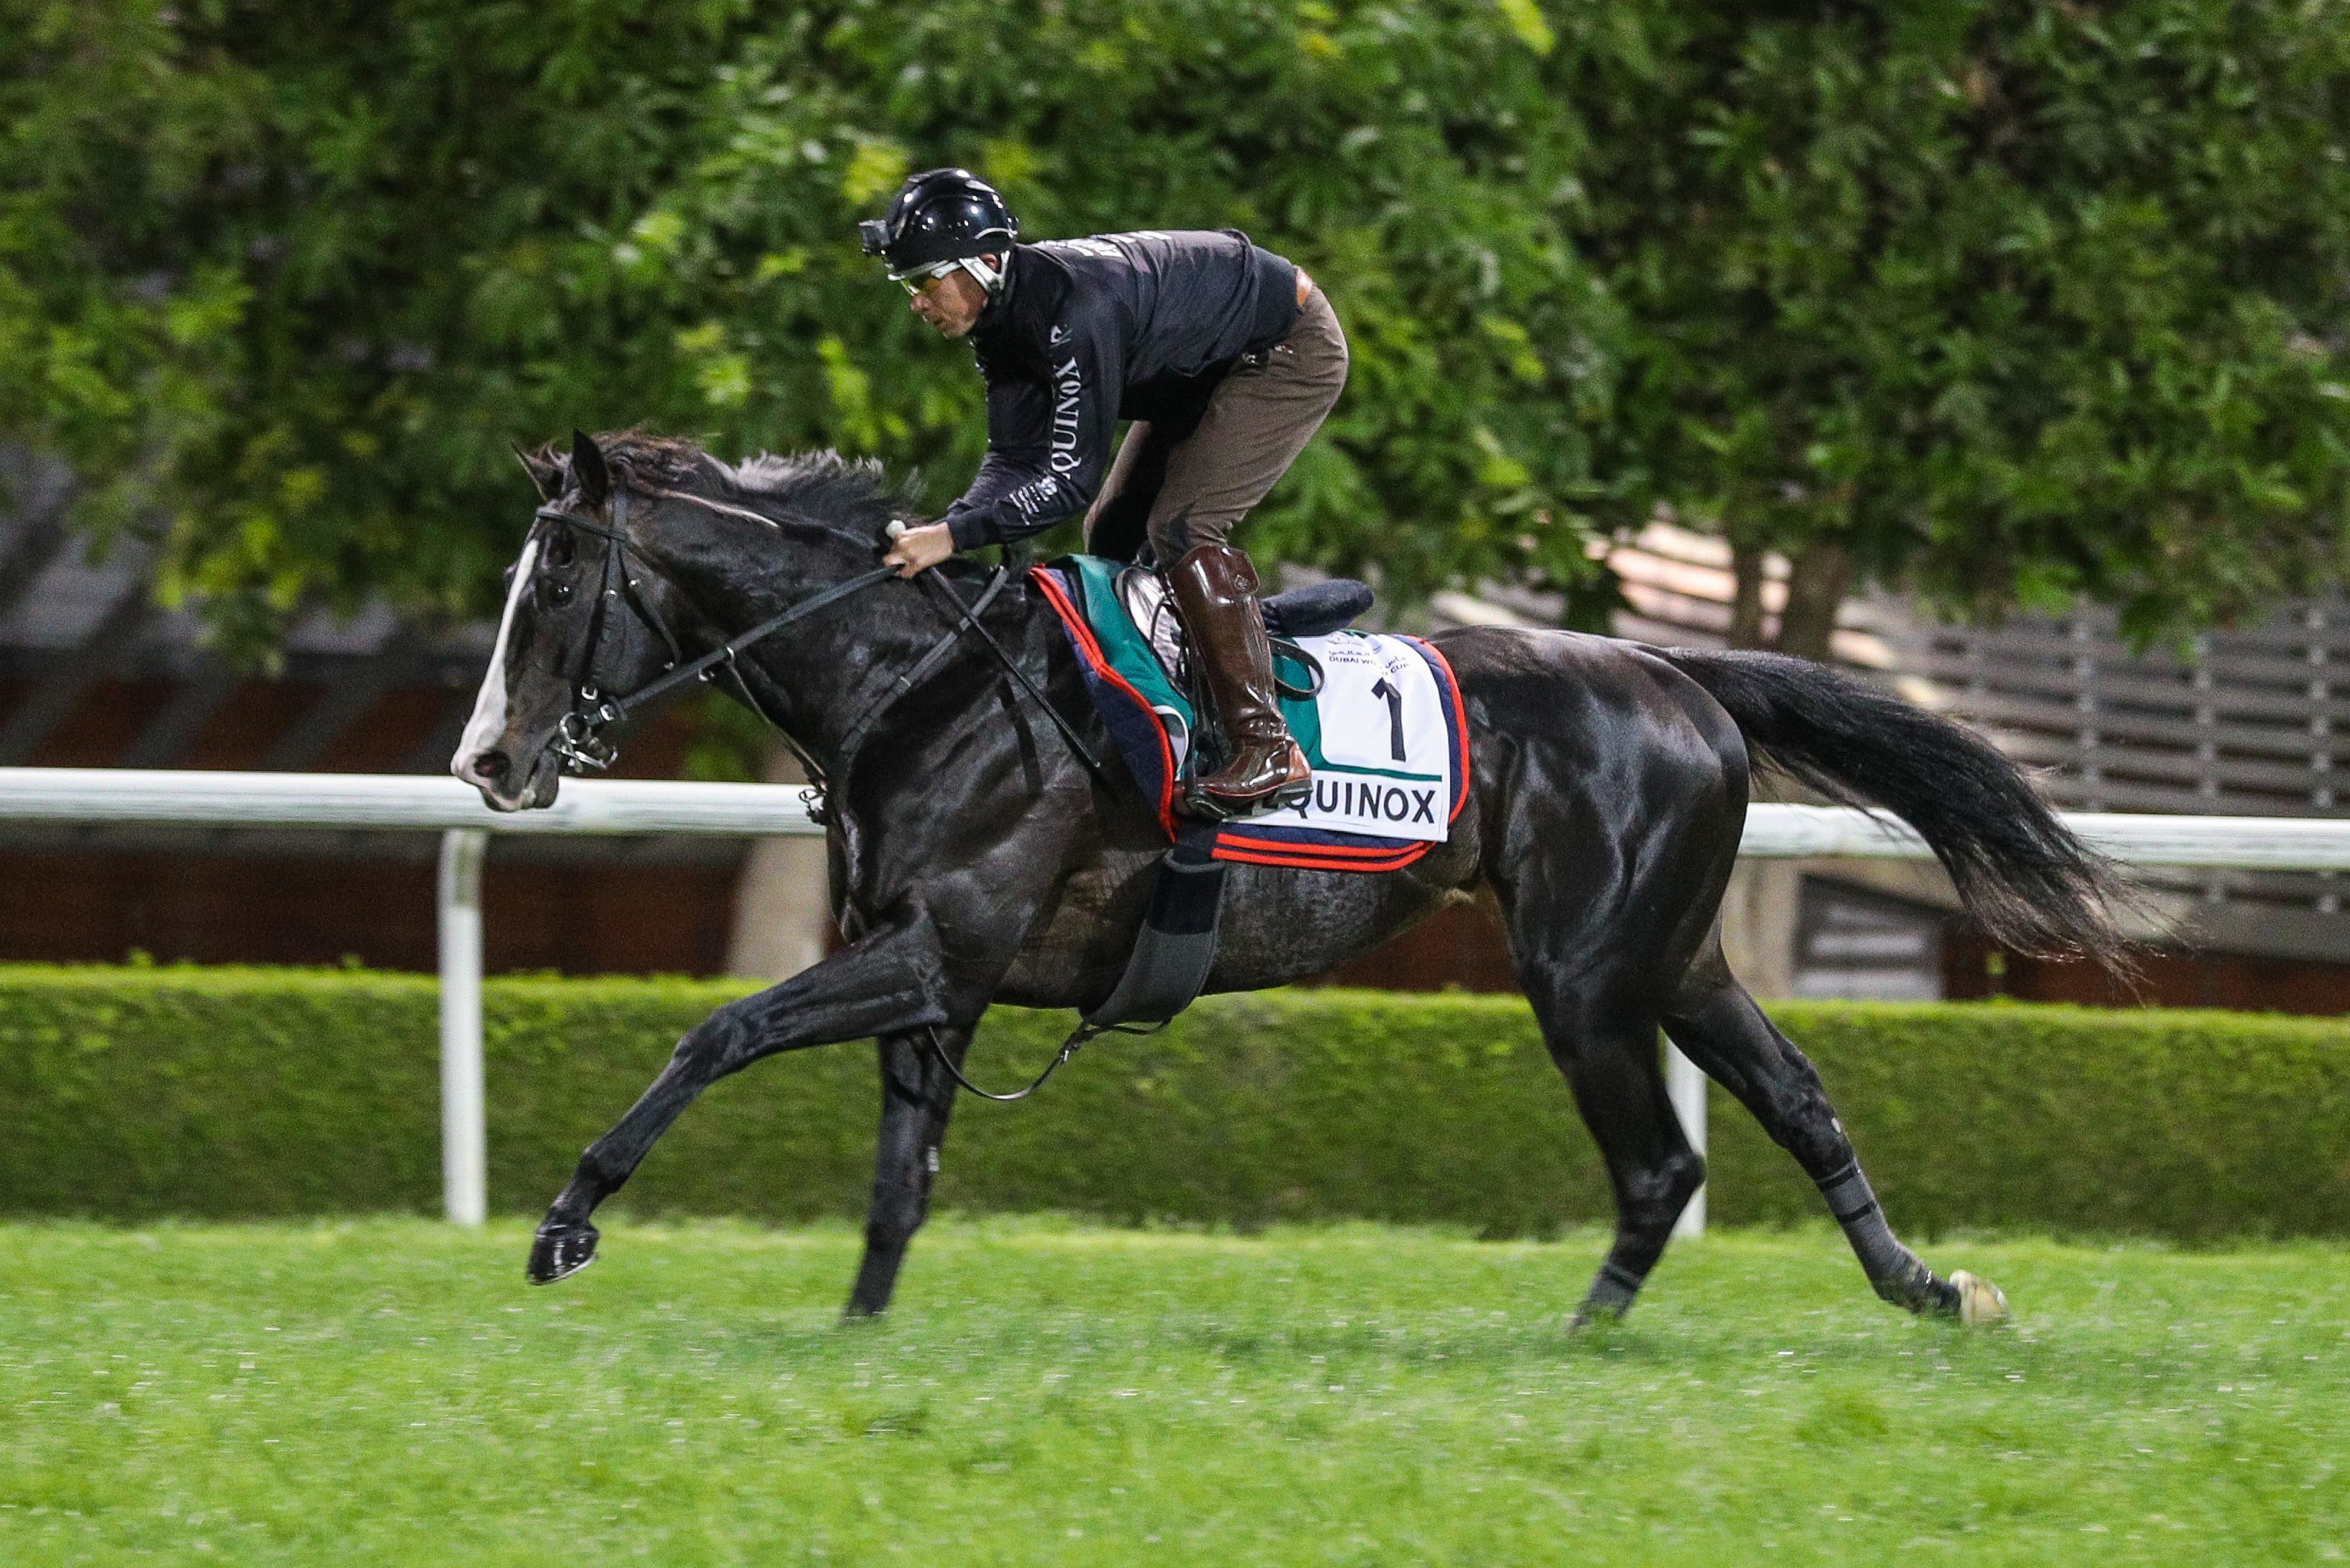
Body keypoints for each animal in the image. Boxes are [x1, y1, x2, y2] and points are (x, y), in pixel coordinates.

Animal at [453, 428, 2126, 1327]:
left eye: (556, 577)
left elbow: (716, 1030)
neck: (922, 680)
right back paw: (1926, 1287)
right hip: (1678, 955)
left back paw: (1576, 1337)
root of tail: (1676, 671)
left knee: (1660, 1161)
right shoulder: (942, 978)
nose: (489, 761)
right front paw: (857, 1332)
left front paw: (566, 1219)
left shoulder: (939, 949)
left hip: (1587, 971)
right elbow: (897, 1181)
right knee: (1793, 1100)